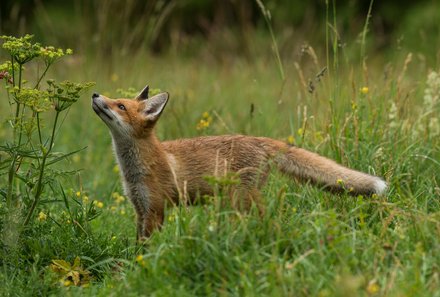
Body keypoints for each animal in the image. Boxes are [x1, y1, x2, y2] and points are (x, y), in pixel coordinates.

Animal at [91, 85, 386, 238]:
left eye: (120, 106)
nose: (95, 95)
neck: (135, 168)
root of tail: (258, 138)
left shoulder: (156, 209)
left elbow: (149, 248)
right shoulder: (140, 209)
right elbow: (137, 246)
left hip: (242, 200)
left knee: (270, 218)